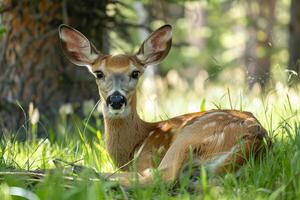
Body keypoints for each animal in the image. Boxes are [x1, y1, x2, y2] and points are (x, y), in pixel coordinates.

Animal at [58, 24, 270, 187]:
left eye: (135, 73)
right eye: (99, 73)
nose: (116, 100)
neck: (136, 143)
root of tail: (255, 137)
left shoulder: (149, 156)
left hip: (188, 137)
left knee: (160, 176)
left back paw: (71, 170)